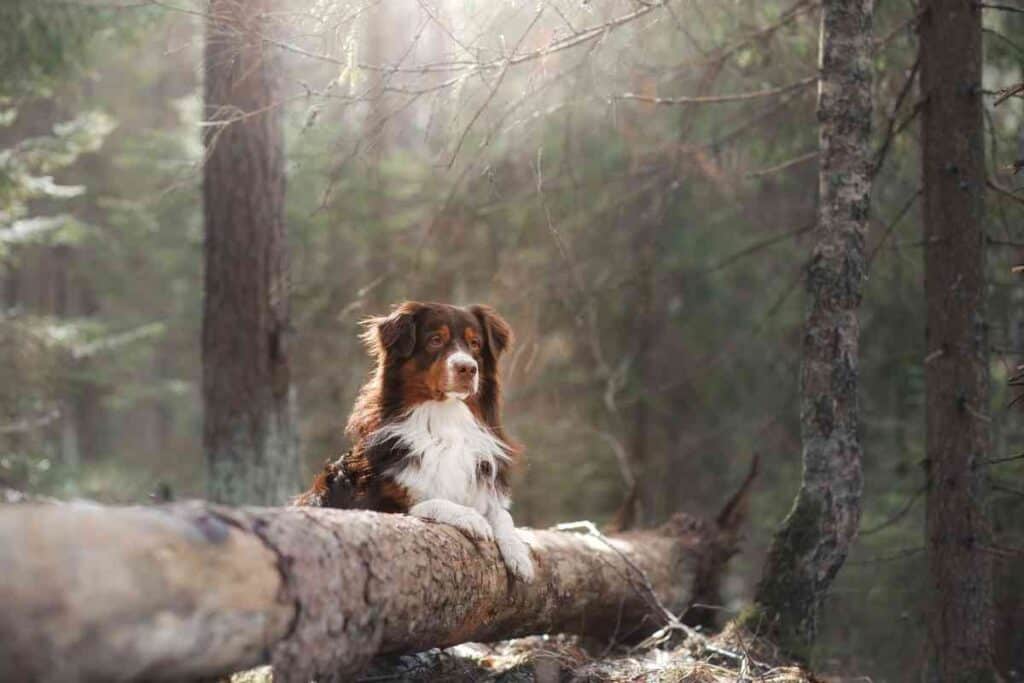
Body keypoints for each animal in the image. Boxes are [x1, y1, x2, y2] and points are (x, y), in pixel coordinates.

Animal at [294, 301, 536, 581]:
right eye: (435, 340)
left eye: (475, 343)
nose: (467, 368)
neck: (445, 420)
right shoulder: (371, 504)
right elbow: (427, 503)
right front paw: (471, 517)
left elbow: (502, 515)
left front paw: (518, 554)